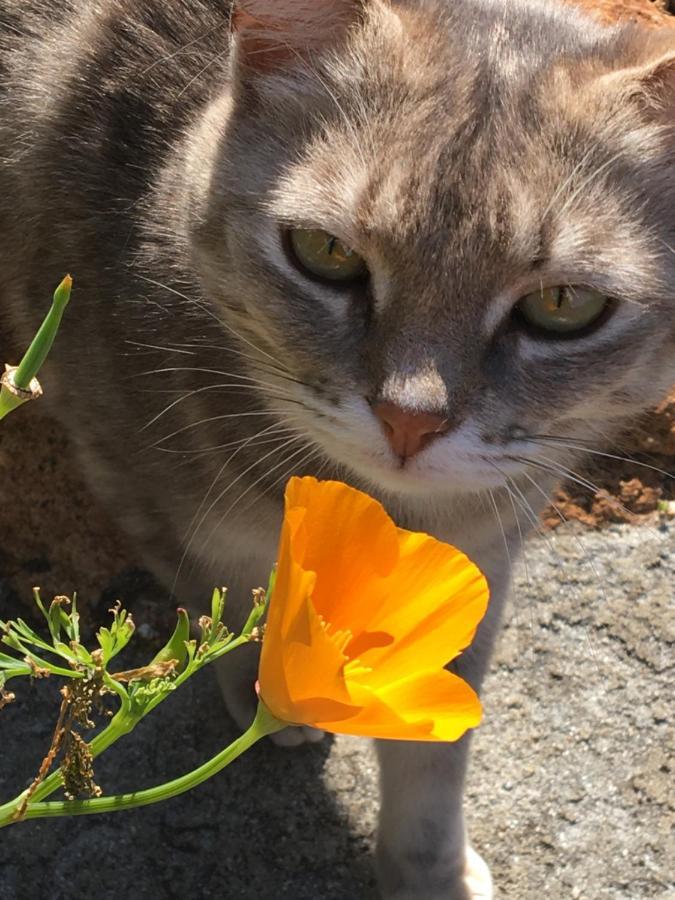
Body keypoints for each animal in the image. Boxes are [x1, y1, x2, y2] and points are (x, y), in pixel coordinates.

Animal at [0, 0, 672, 896]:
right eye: (326, 254)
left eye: (564, 304)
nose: (409, 420)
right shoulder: (126, 459)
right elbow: (219, 582)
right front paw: (267, 680)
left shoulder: (485, 547)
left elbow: (438, 743)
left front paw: (428, 872)